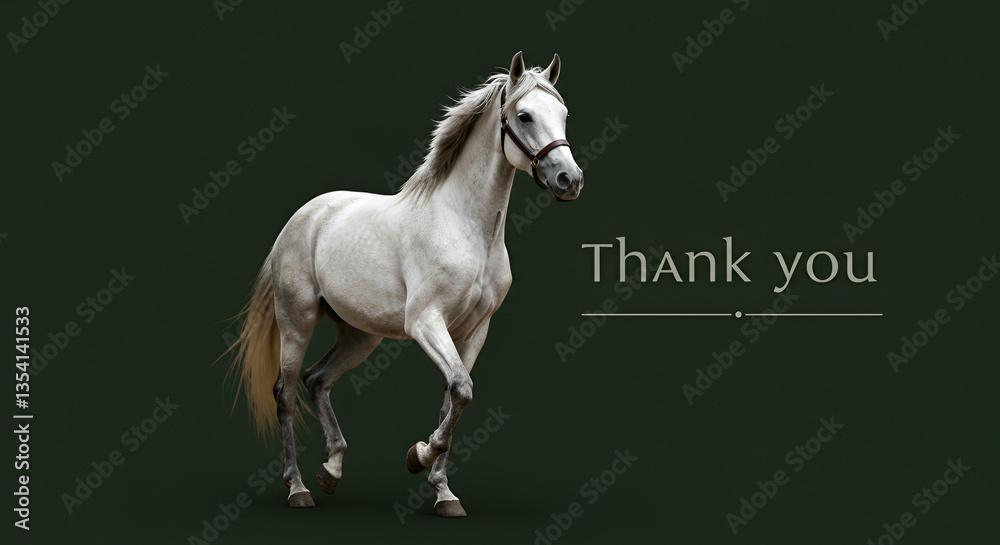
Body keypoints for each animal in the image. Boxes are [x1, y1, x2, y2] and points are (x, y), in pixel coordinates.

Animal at [229, 51, 584, 516]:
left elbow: (453, 398)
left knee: (317, 380)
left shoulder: (473, 332)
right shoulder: (425, 322)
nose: (569, 181)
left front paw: (443, 493)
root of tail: (302, 218)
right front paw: (418, 456)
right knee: (285, 393)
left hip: (360, 335)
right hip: (298, 321)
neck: (466, 227)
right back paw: (299, 489)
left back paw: (332, 471)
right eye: (524, 116)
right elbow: (462, 391)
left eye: (563, 114)